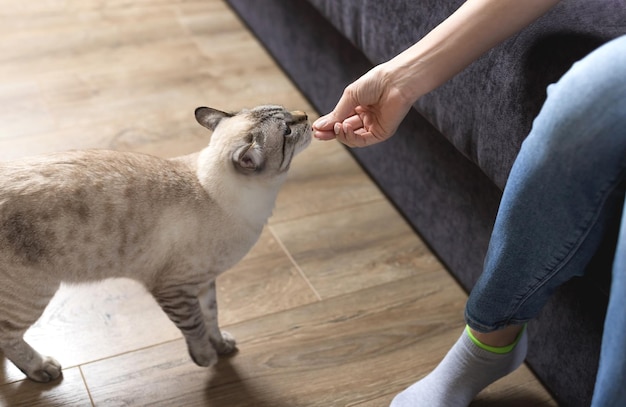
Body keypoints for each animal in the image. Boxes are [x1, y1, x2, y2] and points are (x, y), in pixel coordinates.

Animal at [0, 104, 310, 382]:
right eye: (287, 130)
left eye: (288, 113)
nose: (306, 115)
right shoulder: (174, 289)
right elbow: (196, 326)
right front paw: (206, 358)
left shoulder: (204, 282)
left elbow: (212, 317)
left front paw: (221, 346)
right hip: (33, 294)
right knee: (7, 337)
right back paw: (41, 368)